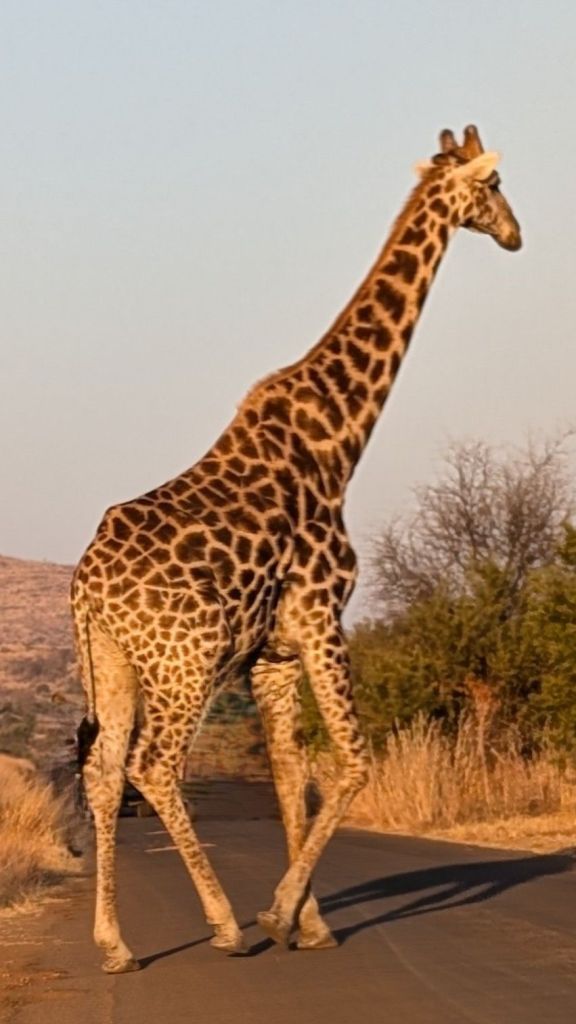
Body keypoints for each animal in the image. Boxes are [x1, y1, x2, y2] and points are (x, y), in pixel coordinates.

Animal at [72, 125, 521, 973]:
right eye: (496, 183)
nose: (517, 235)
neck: (340, 440)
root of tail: (85, 587)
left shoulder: (271, 653)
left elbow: (289, 773)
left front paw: (310, 922)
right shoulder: (320, 615)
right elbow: (351, 760)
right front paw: (280, 913)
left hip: (111, 660)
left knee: (104, 768)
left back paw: (114, 945)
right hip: (183, 661)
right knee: (154, 764)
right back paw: (223, 925)